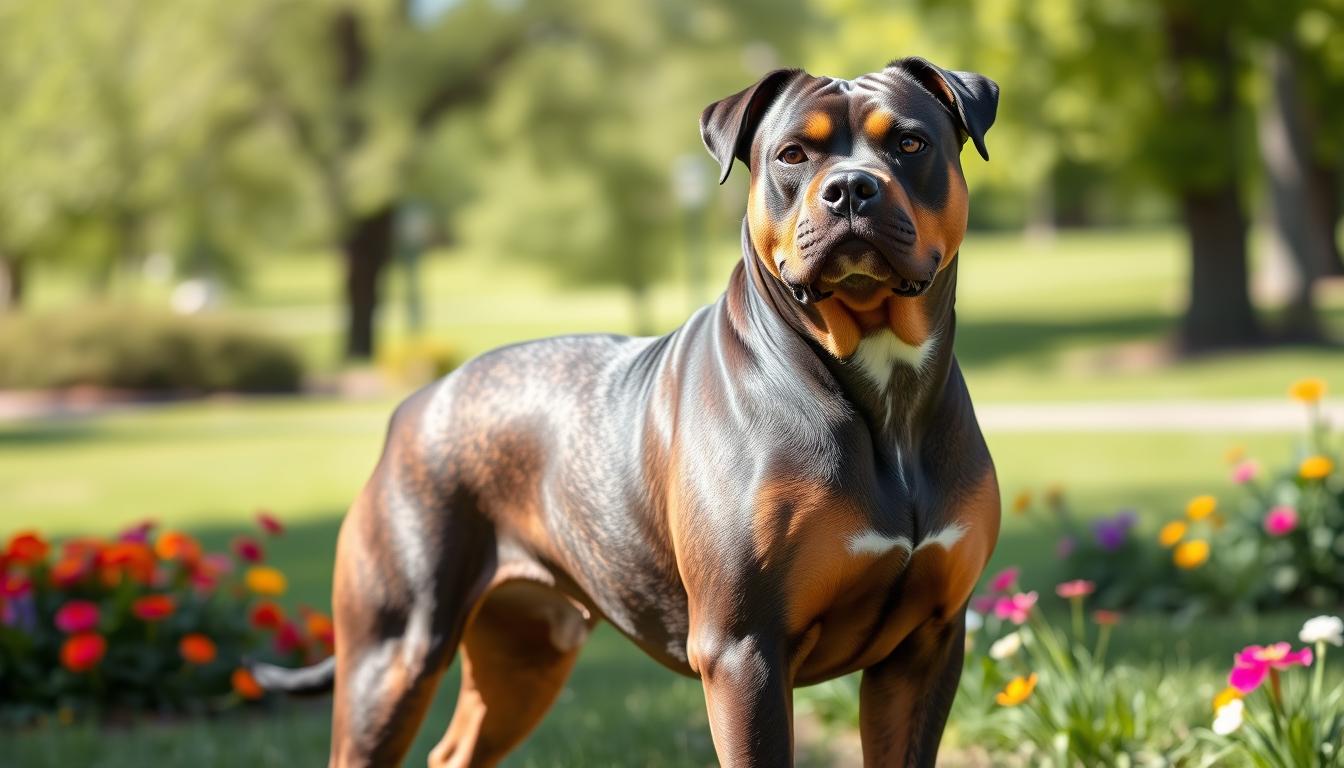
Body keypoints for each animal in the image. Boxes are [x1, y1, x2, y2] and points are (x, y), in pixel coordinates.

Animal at [256, 57, 1005, 763]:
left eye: (909, 143)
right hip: (392, 653)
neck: (882, 388)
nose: (851, 186)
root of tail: (416, 403)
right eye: (794, 154)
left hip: (524, 654)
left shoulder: (927, 645)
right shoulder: (745, 649)